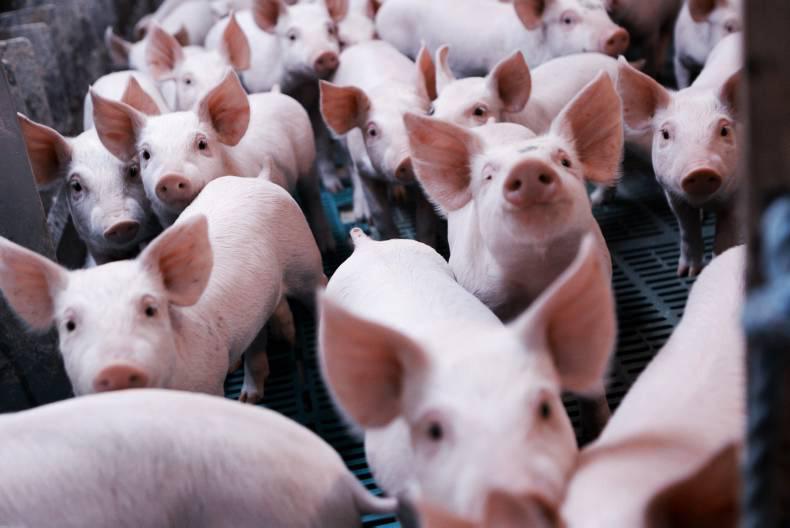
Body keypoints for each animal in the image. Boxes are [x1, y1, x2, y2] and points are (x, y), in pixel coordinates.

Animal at [0, 176, 325, 402]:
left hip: (304, 258)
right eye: (69, 325)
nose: (116, 368)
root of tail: (253, 180)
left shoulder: (207, 381)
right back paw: (249, 397)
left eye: (150, 309)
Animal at [91, 71, 335, 253]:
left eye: (202, 143)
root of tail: (275, 93)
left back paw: (326, 245)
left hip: (308, 155)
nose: (170, 177)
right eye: (145, 154)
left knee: (313, 194)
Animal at [320, 41, 439, 243]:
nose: (408, 158)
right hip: (344, 145)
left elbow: (427, 220)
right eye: (372, 132)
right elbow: (380, 214)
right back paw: (361, 214)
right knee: (350, 169)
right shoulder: (363, 168)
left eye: (428, 115)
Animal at [617, 33, 742, 276]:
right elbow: (687, 228)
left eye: (724, 130)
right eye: (665, 133)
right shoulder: (672, 194)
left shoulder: (737, 196)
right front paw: (686, 273)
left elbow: (727, 234)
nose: (700, 169)